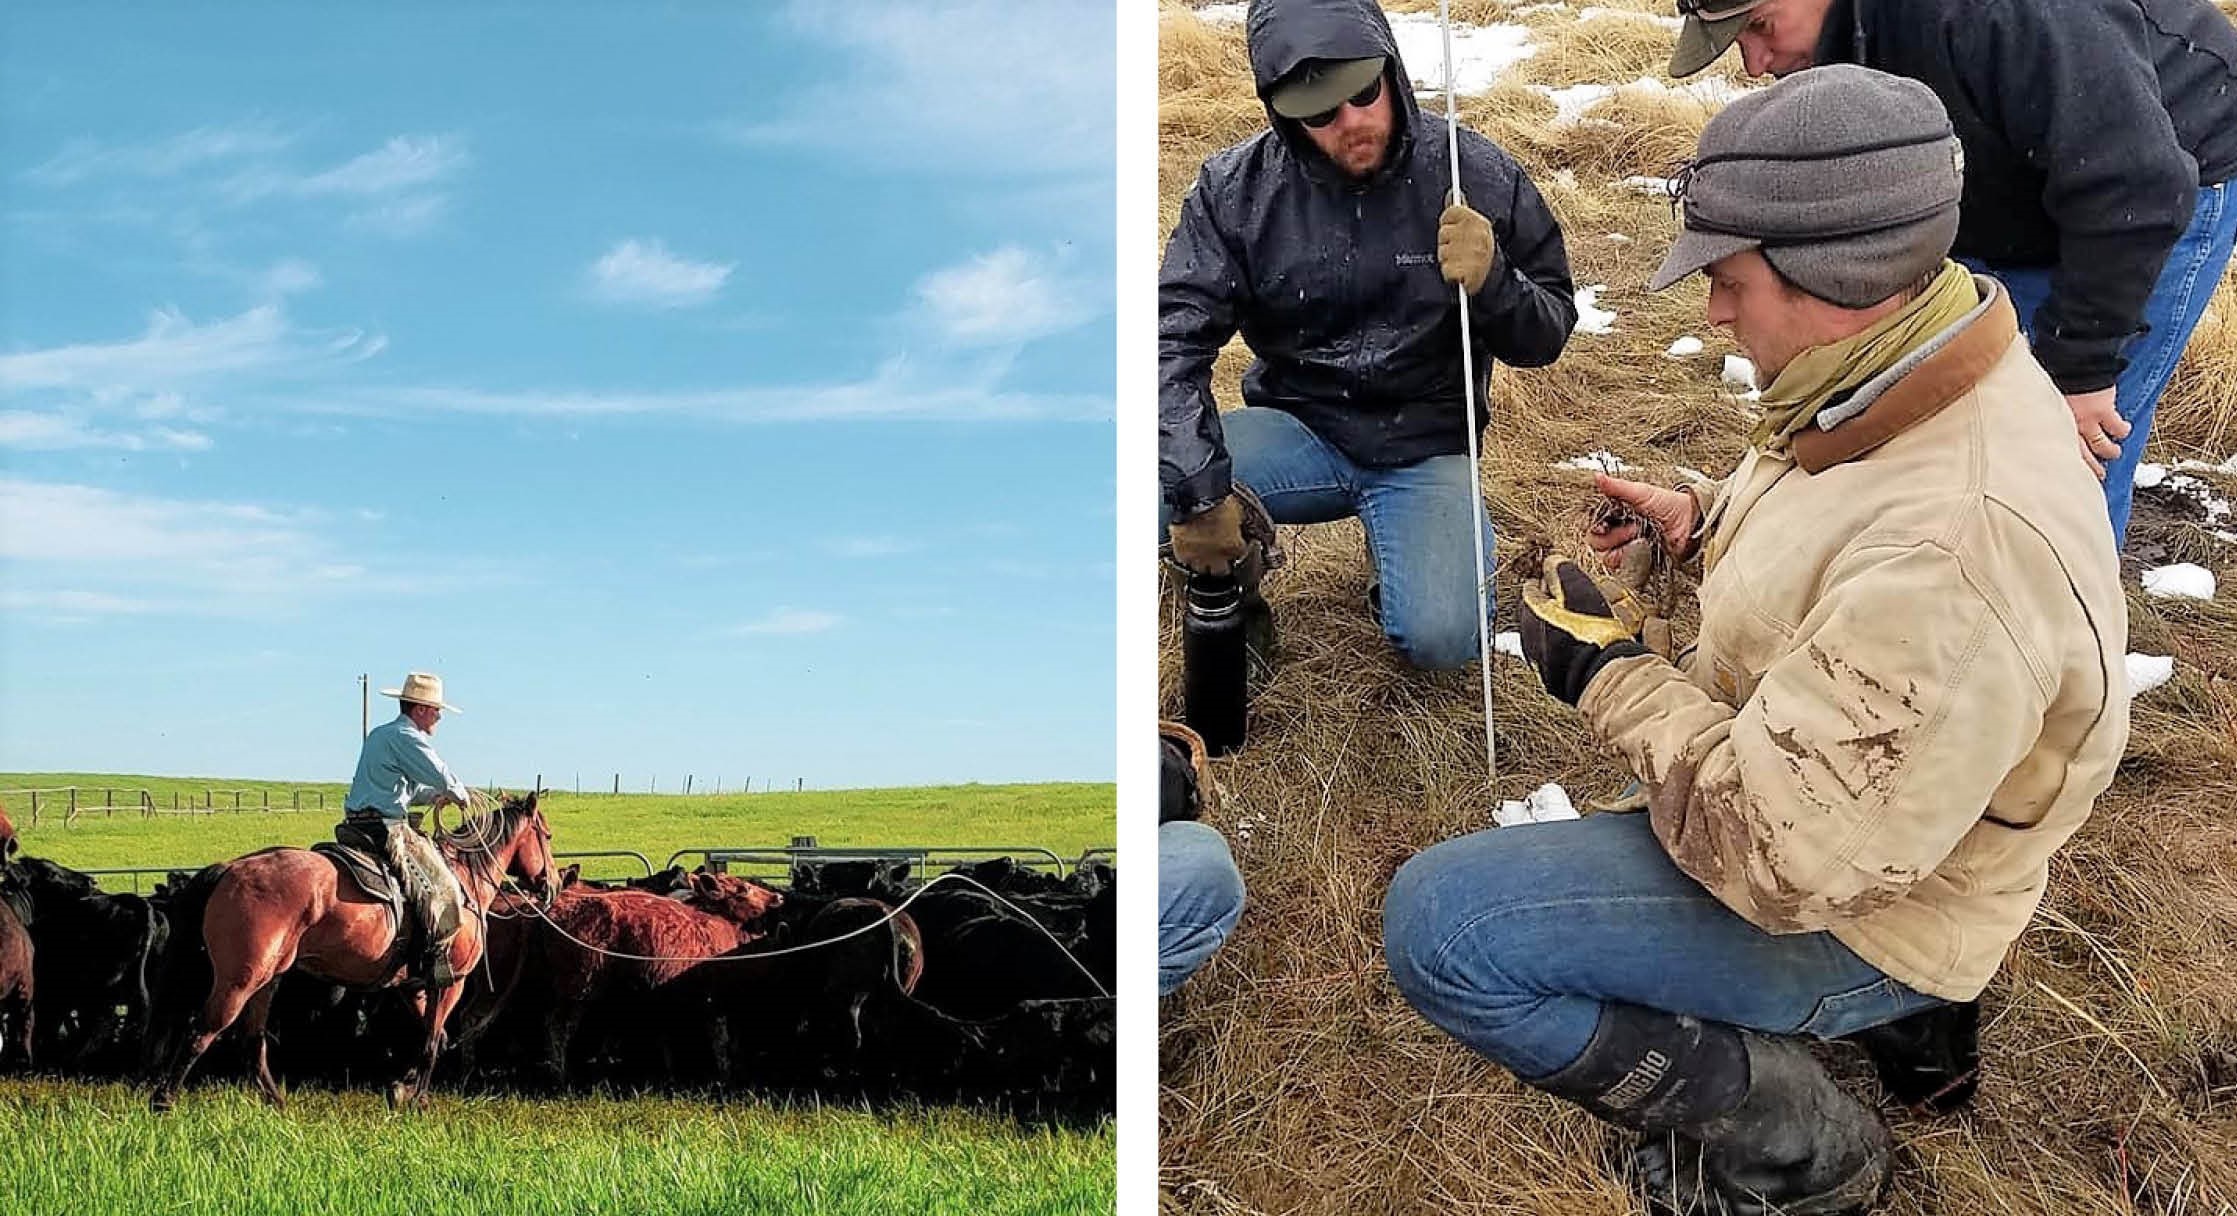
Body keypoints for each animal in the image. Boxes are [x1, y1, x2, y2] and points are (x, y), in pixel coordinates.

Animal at [149, 786, 559, 1113]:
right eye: (547, 835)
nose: (552, 884)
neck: (464, 879)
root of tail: (231, 868)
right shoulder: (450, 981)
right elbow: (430, 1041)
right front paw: (418, 1098)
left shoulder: (413, 985)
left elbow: (435, 1036)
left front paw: (402, 1088)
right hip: (239, 980)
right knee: (203, 1029)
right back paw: (163, 1101)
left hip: (267, 979)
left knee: (252, 1039)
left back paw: (277, 1102)